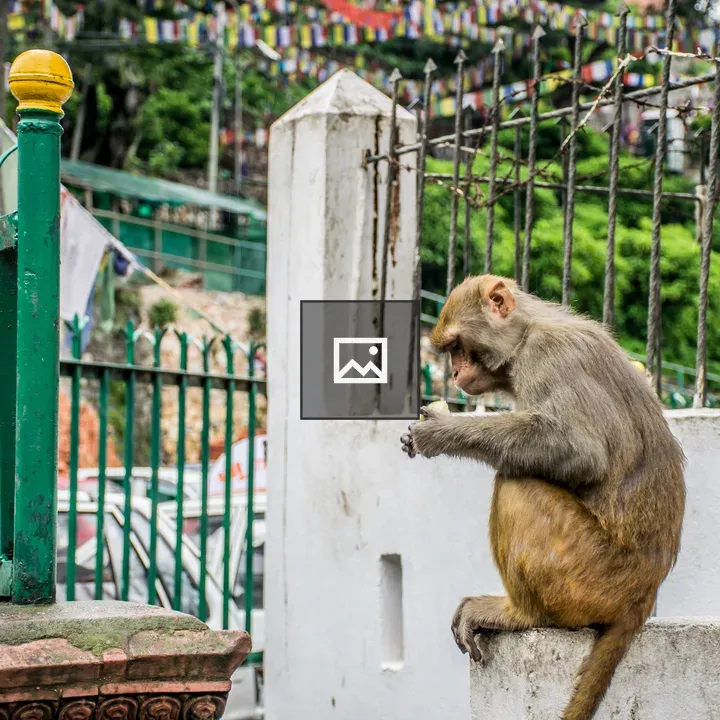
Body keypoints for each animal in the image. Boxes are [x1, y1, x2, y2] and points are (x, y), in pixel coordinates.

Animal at [400, 274, 685, 720]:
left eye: (457, 347)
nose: (455, 371)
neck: (525, 333)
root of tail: (644, 594)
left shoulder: (548, 357)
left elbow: (579, 450)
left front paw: (441, 430)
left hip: (588, 577)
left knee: (517, 482)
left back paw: (519, 613)